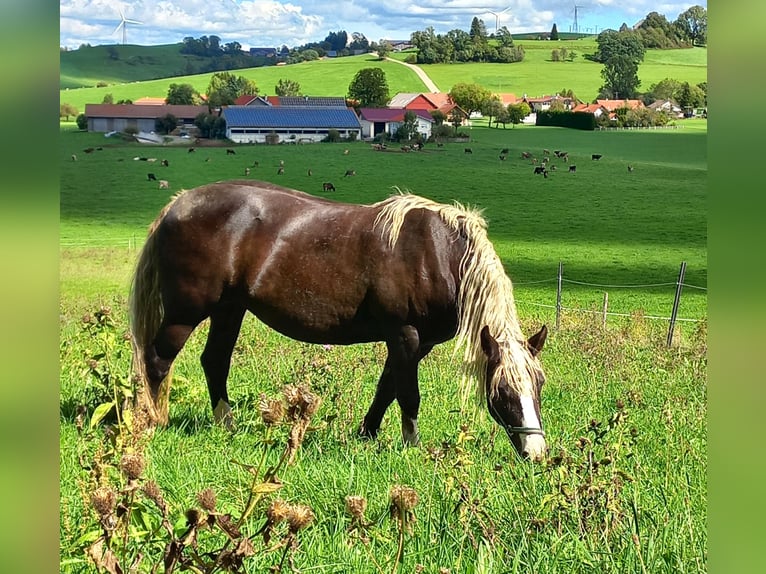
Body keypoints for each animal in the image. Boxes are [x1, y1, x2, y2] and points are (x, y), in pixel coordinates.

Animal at [129, 181, 549, 459]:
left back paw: (227, 426)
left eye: (539, 384)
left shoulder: (415, 342)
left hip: (229, 310)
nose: (536, 451)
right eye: (502, 390)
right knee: (157, 361)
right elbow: (408, 394)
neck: (438, 254)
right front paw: (411, 448)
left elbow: (387, 388)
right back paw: (152, 422)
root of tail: (178, 204)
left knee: (214, 361)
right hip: (186, 313)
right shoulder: (404, 334)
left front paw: (367, 433)